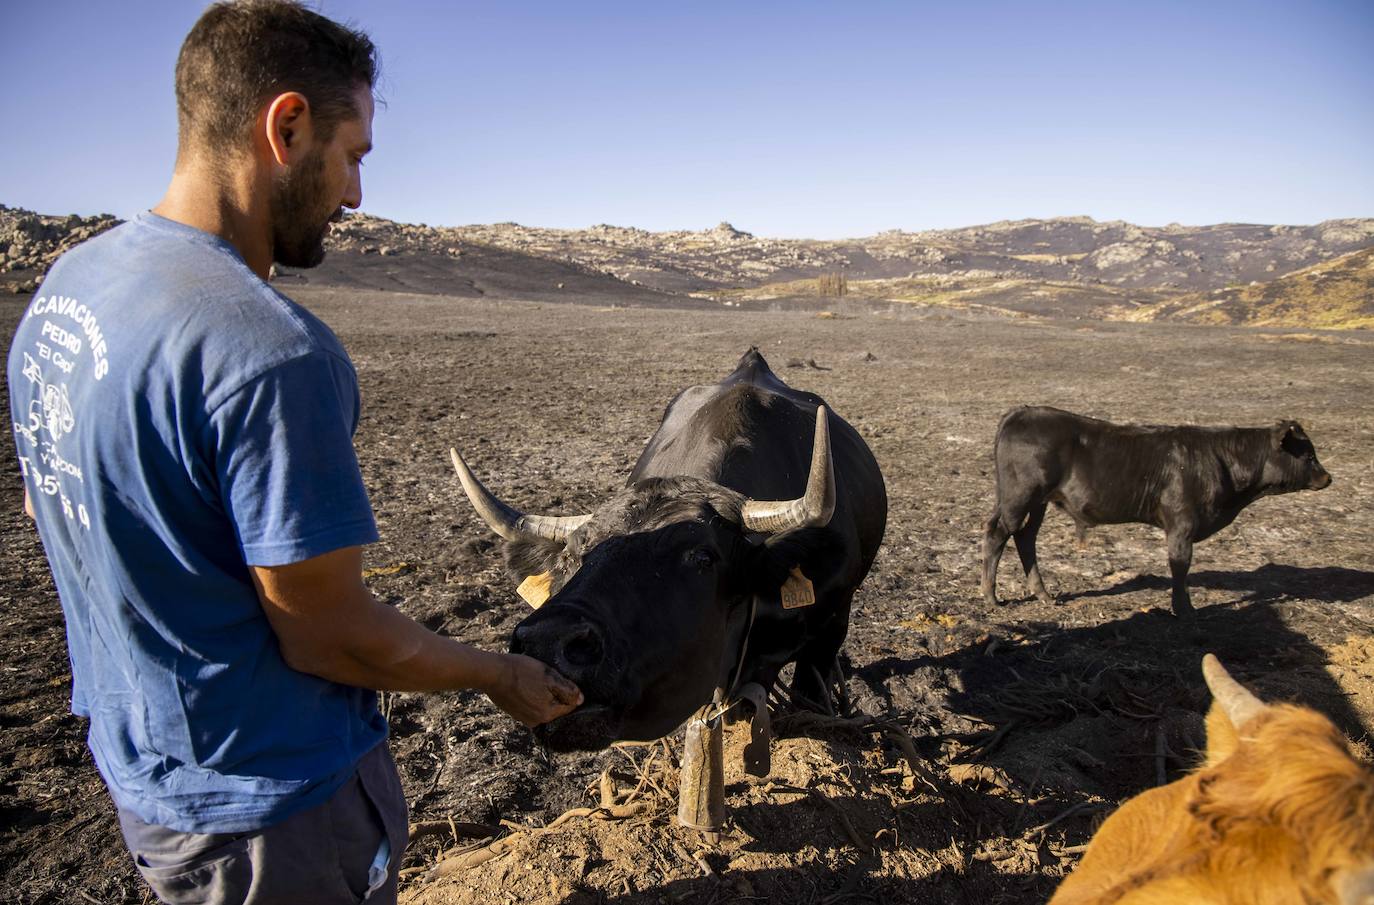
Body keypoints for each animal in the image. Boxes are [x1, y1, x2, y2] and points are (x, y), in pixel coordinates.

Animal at [983, 409, 1335, 615]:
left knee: (1025, 538)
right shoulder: (1181, 524)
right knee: (998, 534)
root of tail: (1023, 411)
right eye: (1308, 456)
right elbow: (1180, 566)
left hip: (1036, 502)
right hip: (1020, 497)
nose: (1327, 477)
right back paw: (990, 595)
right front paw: (1183, 609)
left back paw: (1043, 594)